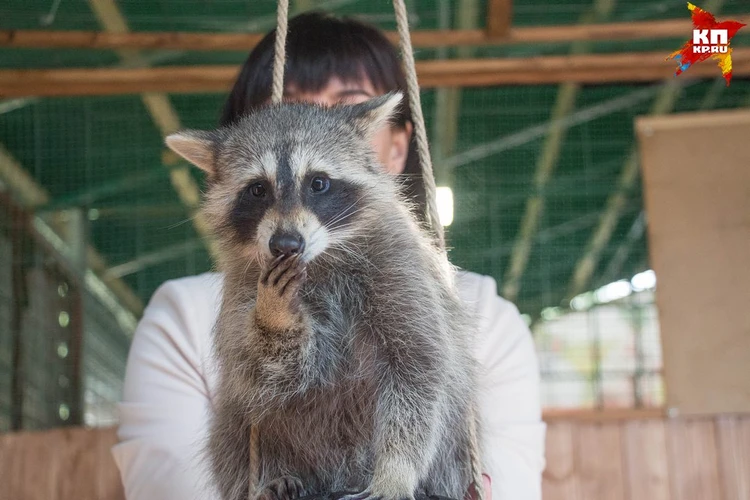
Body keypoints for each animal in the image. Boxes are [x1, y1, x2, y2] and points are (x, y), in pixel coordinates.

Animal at [164, 92, 482, 500]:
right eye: (257, 189)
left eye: (318, 183)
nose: (286, 244)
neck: (319, 258)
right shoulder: (242, 283)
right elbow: (267, 372)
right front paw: (275, 314)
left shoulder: (400, 267)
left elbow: (419, 369)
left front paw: (395, 471)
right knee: (231, 425)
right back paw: (267, 478)